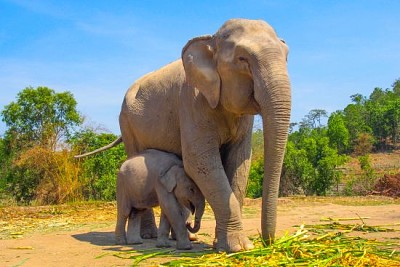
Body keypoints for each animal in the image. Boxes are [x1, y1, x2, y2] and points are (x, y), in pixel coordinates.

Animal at [78, 19, 290, 253]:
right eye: (242, 59)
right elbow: (200, 162)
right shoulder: (191, 102)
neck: (211, 39)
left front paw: (223, 245)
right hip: (126, 122)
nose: (268, 241)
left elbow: (239, 164)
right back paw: (149, 236)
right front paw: (239, 248)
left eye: (286, 56)